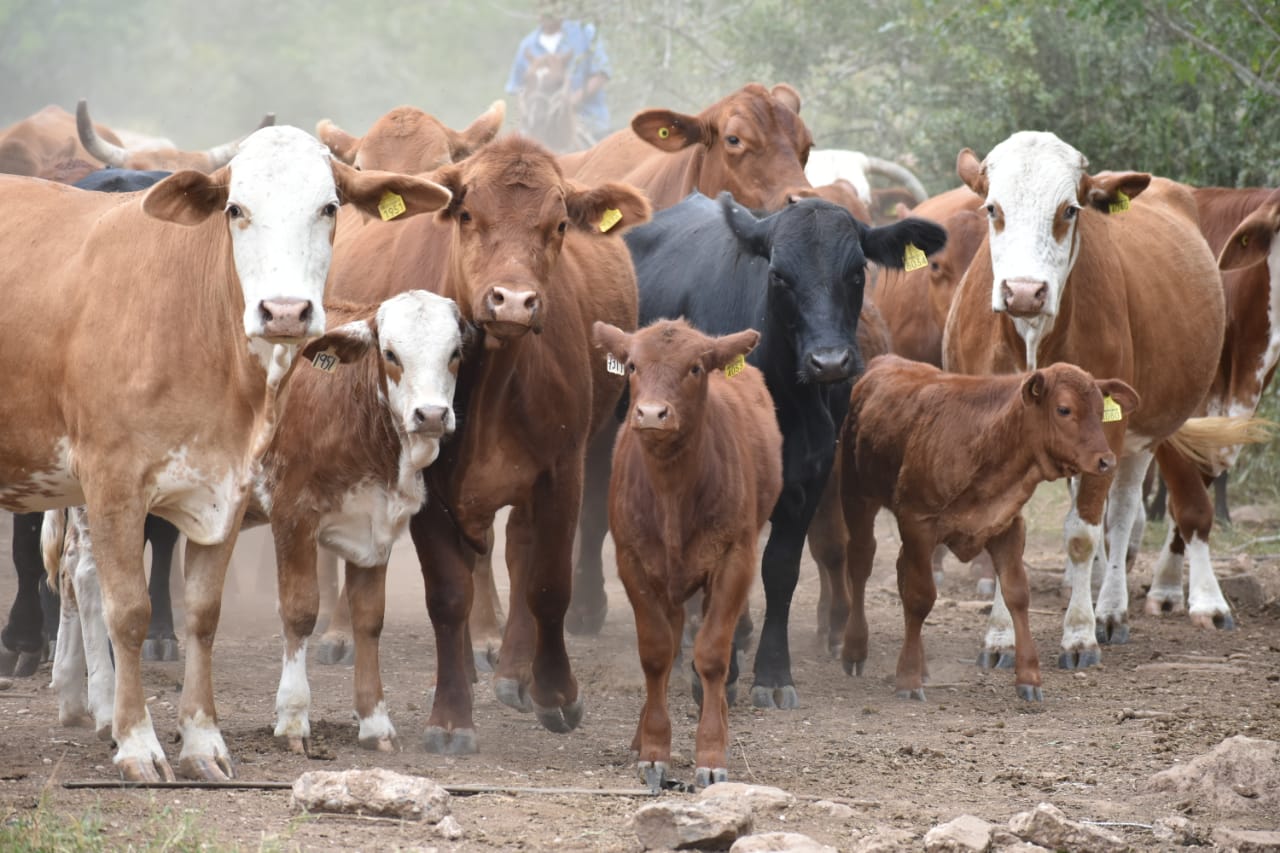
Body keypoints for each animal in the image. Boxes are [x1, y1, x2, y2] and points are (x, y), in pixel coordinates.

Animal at [330, 133, 650, 753]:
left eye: (558, 225)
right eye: (468, 215)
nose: (513, 301)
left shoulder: (562, 471)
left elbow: (547, 583)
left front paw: (555, 692)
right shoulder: (425, 483)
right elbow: (448, 595)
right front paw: (451, 715)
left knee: (522, 556)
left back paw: (512, 672)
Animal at [570, 192, 952, 701]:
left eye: (856, 271)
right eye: (778, 275)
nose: (829, 362)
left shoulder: (810, 476)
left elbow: (780, 569)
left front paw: (771, 672)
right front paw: (717, 669)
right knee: (593, 513)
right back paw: (588, 609)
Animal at [593, 318, 783, 788]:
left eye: (695, 367)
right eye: (632, 365)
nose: (651, 414)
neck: (672, 492)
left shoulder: (735, 559)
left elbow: (712, 655)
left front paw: (712, 753)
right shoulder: (632, 562)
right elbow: (656, 652)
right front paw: (653, 749)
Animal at [839, 350, 1141, 696]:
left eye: (1100, 411)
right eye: (1064, 409)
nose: (1106, 460)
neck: (985, 443)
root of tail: (883, 361)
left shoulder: (1006, 525)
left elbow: (1017, 594)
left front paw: (1029, 677)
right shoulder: (917, 523)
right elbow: (920, 596)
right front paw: (908, 678)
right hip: (857, 496)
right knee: (861, 563)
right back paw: (854, 650)